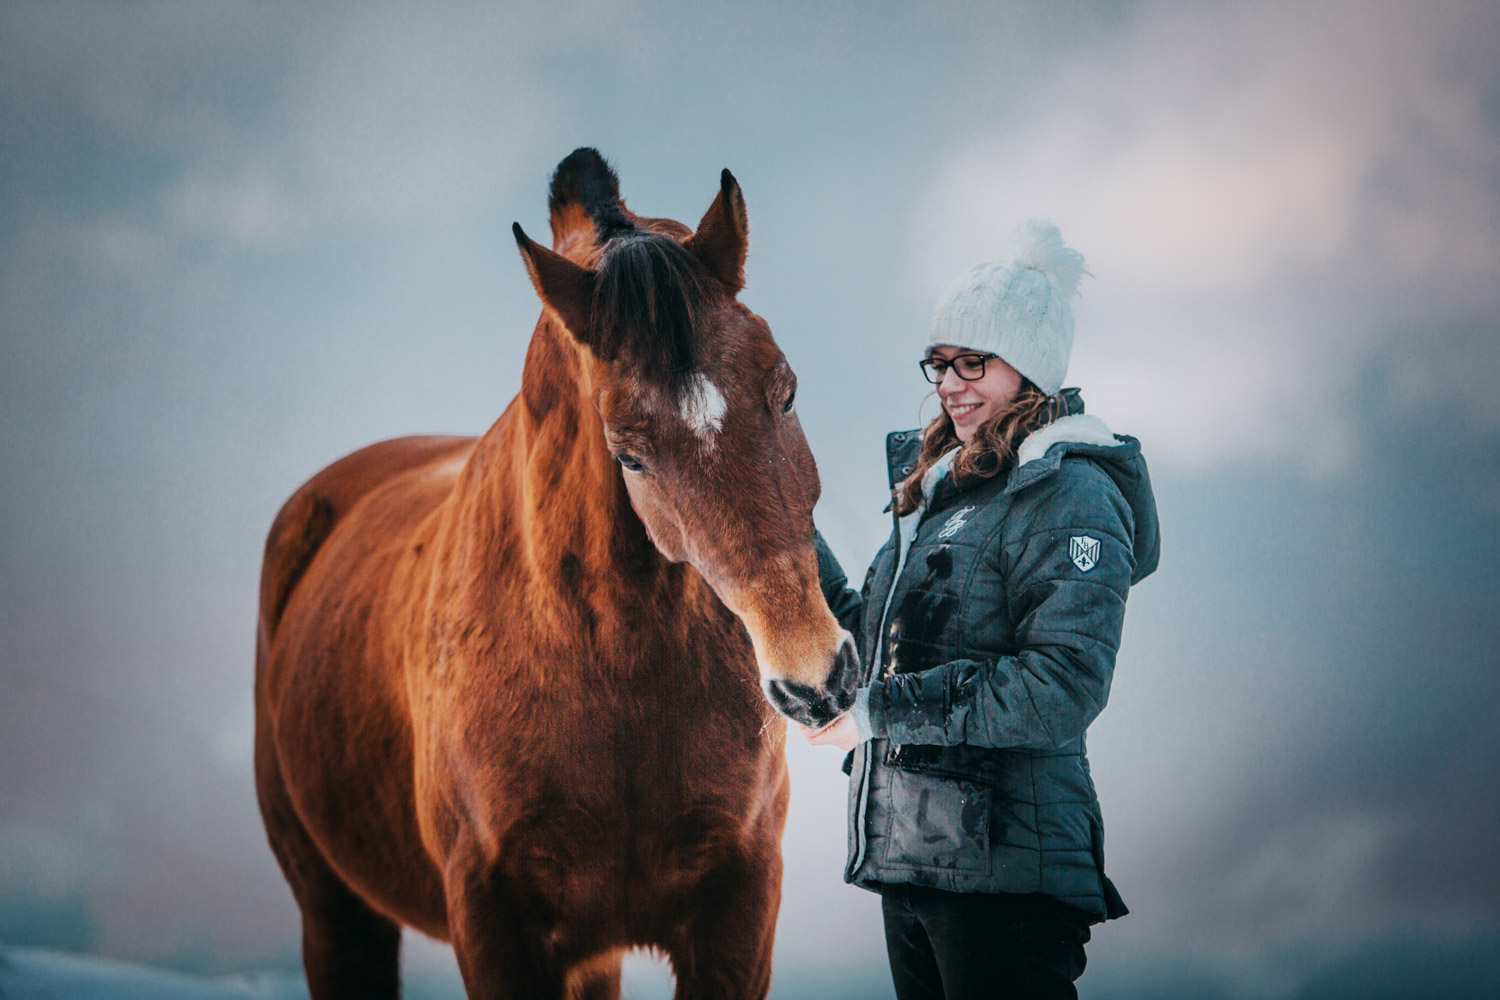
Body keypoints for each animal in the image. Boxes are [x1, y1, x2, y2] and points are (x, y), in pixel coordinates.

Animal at [255, 150, 858, 1000]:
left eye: (787, 391)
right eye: (629, 453)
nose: (814, 679)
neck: (614, 674)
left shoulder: (739, 907)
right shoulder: (494, 922)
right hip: (336, 912)